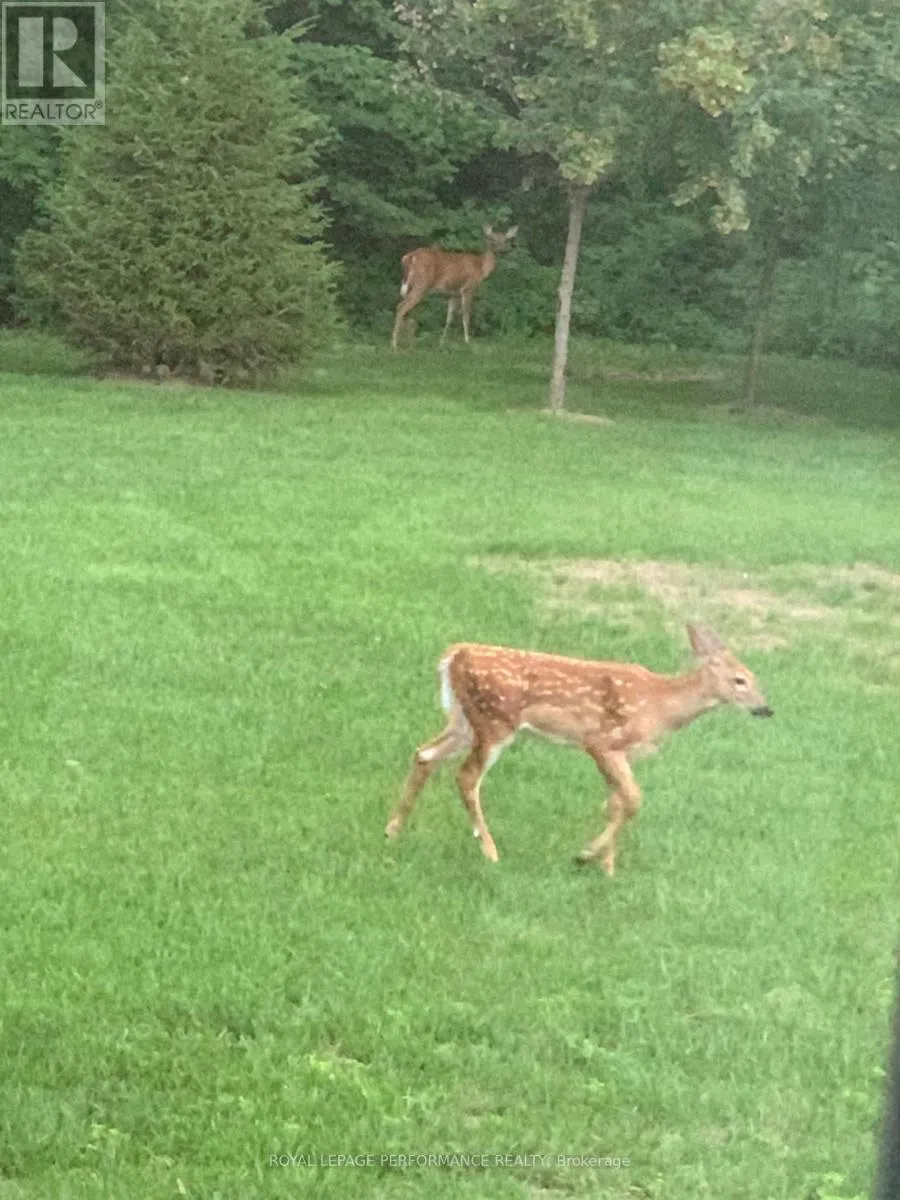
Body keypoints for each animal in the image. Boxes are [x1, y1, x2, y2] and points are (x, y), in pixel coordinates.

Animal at [385, 625, 773, 876]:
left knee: (424, 754)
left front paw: (607, 867)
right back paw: (490, 851)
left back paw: (393, 829)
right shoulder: (602, 742)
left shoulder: (621, 755)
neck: (660, 707)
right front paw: (586, 856)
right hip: (496, 722)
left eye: (756, 678)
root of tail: (452, 656)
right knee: (466, 777)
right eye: (740, 680)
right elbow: (633, 799)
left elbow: (615, 802)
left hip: (465, 722)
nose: (766, 709)